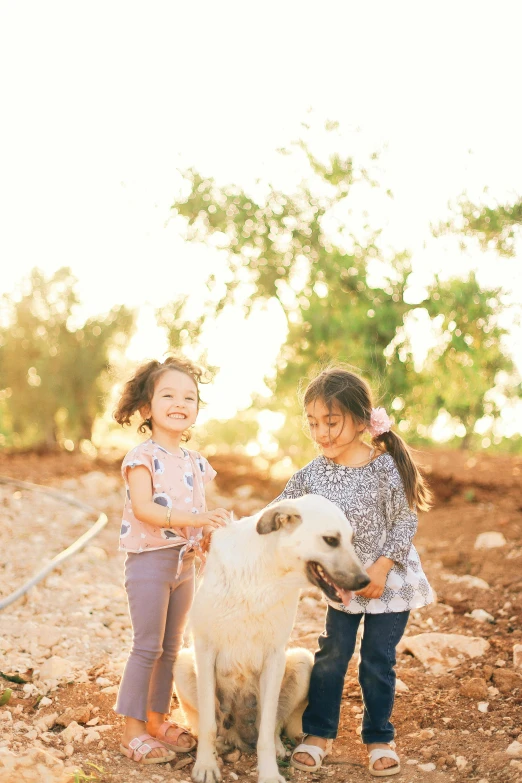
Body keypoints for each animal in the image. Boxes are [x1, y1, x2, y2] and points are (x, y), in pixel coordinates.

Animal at [173, 496, 368, 783]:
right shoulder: (204, 650)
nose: (365, 581)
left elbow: (266, 730)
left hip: (302, 661)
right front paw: (206, 765)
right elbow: (208, 724)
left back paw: (276, 747)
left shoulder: (274, 656)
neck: (265, 576)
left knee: (272, 725)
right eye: (331, 540)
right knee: (212, 725)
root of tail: (239, 737)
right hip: (182, 663)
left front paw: (268, 773)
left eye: (352, 539)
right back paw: (221, 744)